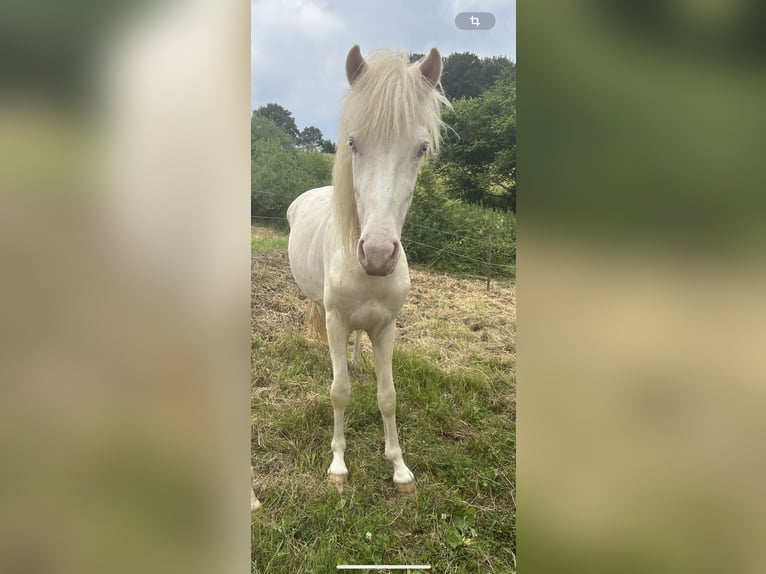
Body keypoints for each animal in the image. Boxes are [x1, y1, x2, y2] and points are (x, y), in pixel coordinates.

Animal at [286, 46, 450, 496]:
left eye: (421, 149)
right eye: (353, 144)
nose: (377, 254)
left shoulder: (386, 326)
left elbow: (387, 395)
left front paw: (400, 469)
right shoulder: (336, 319)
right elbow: (339, 392)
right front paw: (339, 465)